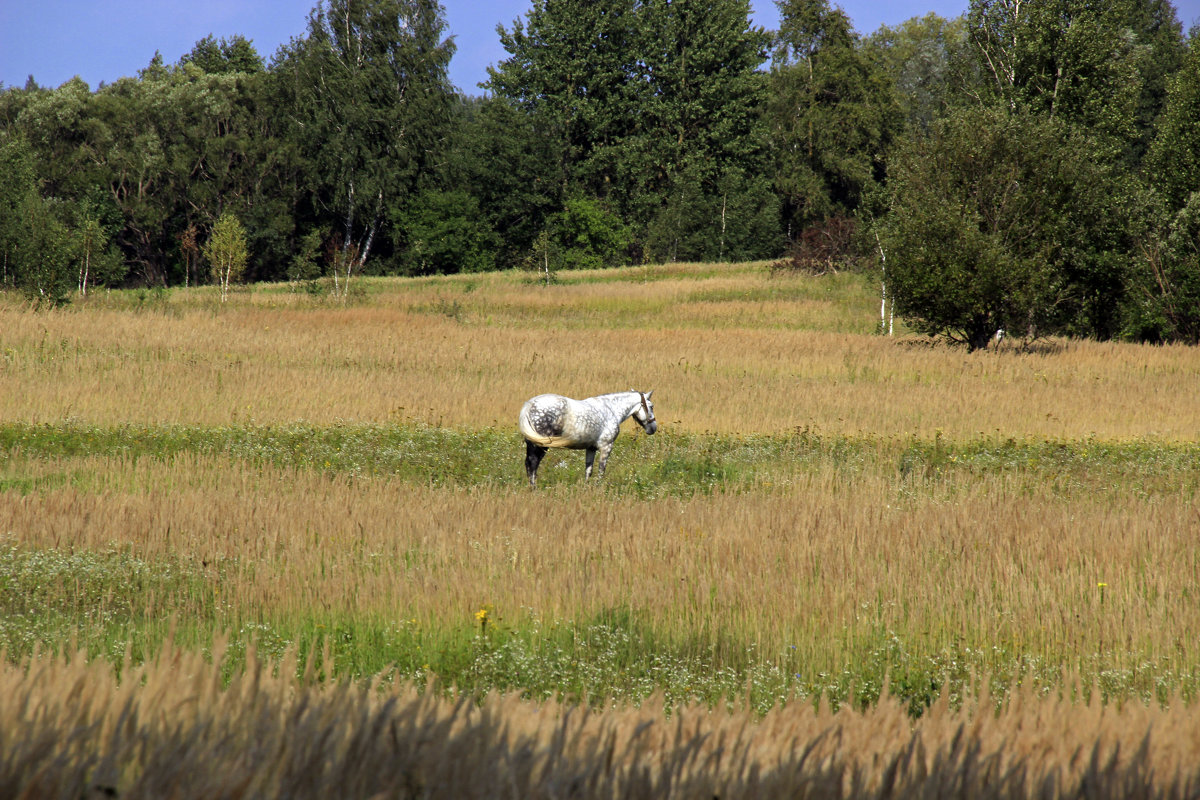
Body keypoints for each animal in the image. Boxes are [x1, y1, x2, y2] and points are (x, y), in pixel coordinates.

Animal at [518, 388, 657, 489]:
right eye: (651, 406)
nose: (653, 428)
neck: (610, 410)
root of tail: (530, 405)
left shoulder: (591, 448)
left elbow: (588, 470)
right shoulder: (606, 447)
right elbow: (601, 470)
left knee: (529, 464)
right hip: (540, 445)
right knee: (533, 463)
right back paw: (534, 488)